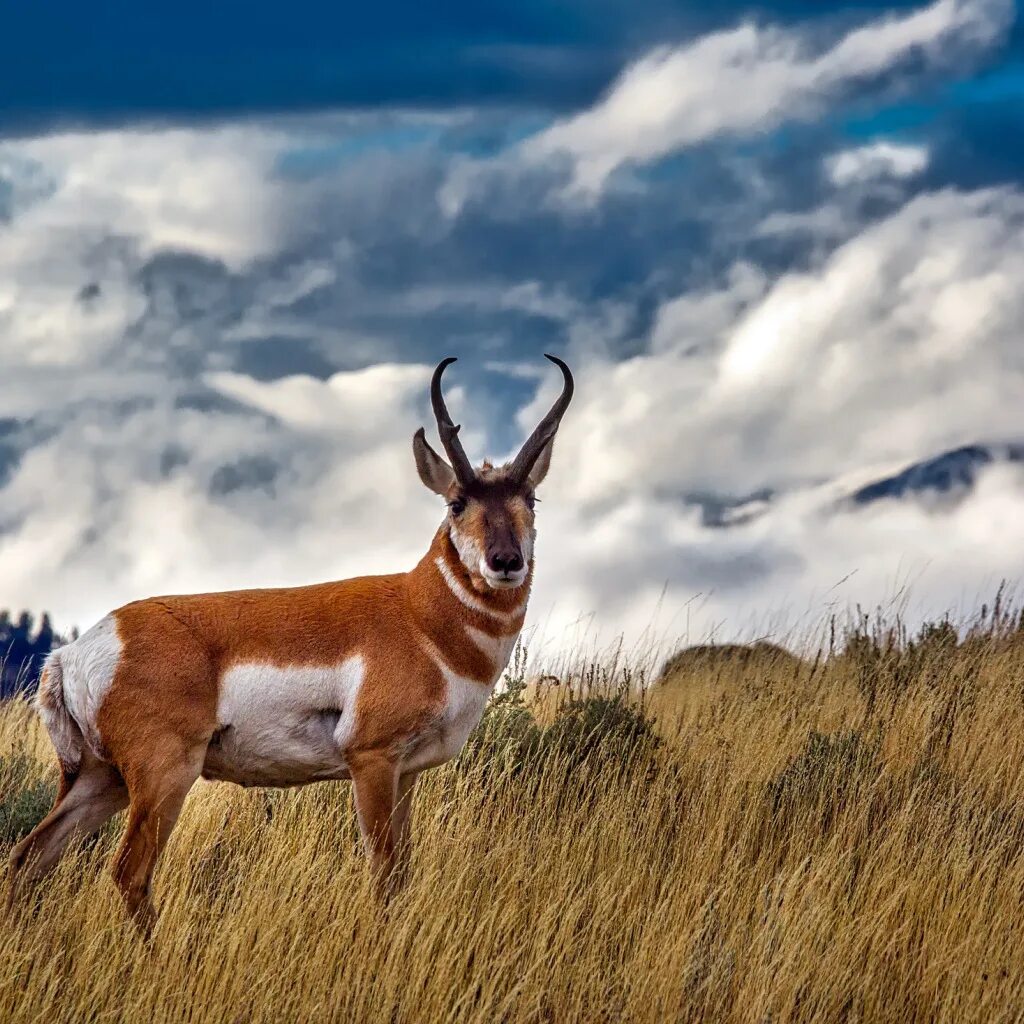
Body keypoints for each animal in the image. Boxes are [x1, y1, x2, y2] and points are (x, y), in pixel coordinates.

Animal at [4, 356, 573, 933]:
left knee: (29, 857)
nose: (506, 562)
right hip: (164, 774)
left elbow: (404, 872)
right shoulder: (371, 759)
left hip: (102, 780)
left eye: (530, 498)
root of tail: (73, 653)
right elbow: (384, 874)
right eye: (457, 503)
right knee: (128, 872)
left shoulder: (408, 772)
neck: (418, 615)